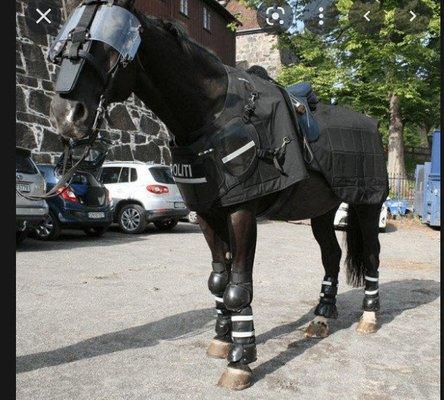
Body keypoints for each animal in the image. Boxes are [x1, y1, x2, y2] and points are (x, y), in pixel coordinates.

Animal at [47, 0, 388, 388]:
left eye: (105, 44)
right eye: (62, 40)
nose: (66, 116)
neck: (211, 114)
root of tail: (372, 124)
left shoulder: (241, 212)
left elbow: (238, 286)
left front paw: (241, 359)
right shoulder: (208, 213)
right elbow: (218, 281)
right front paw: (223, 339)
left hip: (366, 205)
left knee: (372, 255)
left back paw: (369, 317)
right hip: (322, 211)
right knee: (331, 255)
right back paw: (323, 315)